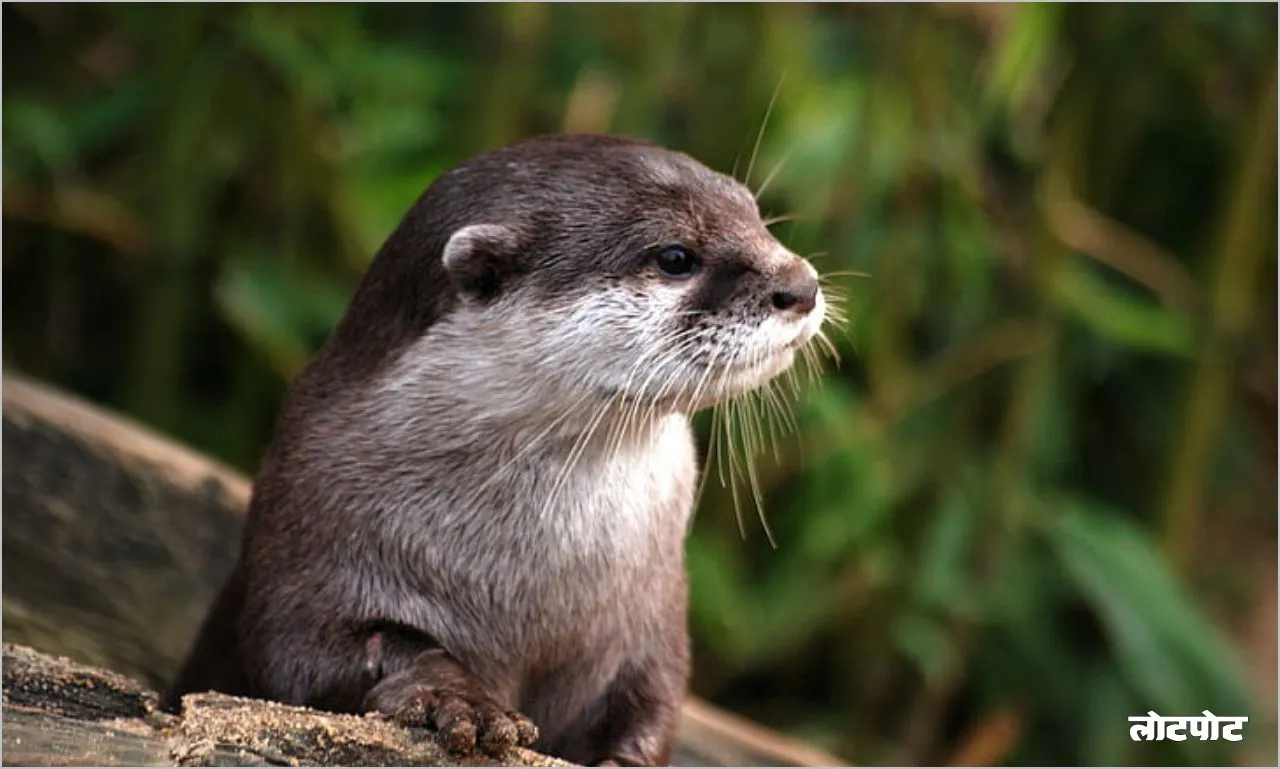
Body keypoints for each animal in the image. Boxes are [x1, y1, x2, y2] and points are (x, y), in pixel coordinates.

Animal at [165, 134, 829, 762]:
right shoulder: (306, 534)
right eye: (675, 257)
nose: (801, 284)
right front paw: (457, 698)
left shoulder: (653, 619)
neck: (531, 583)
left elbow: (654, 700)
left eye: (755, 215)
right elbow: (316, 654)